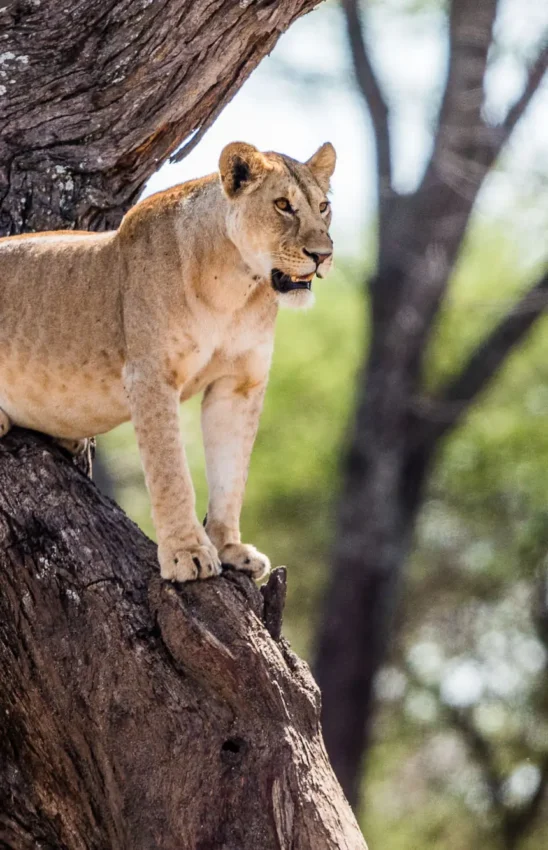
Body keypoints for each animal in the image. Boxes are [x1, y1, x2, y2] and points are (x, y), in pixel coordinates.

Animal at [0, 141, 336, 582]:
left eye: (323, 206)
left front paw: (230, 548)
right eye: (283, 205)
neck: (234, 289)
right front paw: (187, 553)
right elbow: (171, 472)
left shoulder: (239, 383)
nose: (324, 255)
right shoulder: (150, 376)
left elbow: (231, 473)